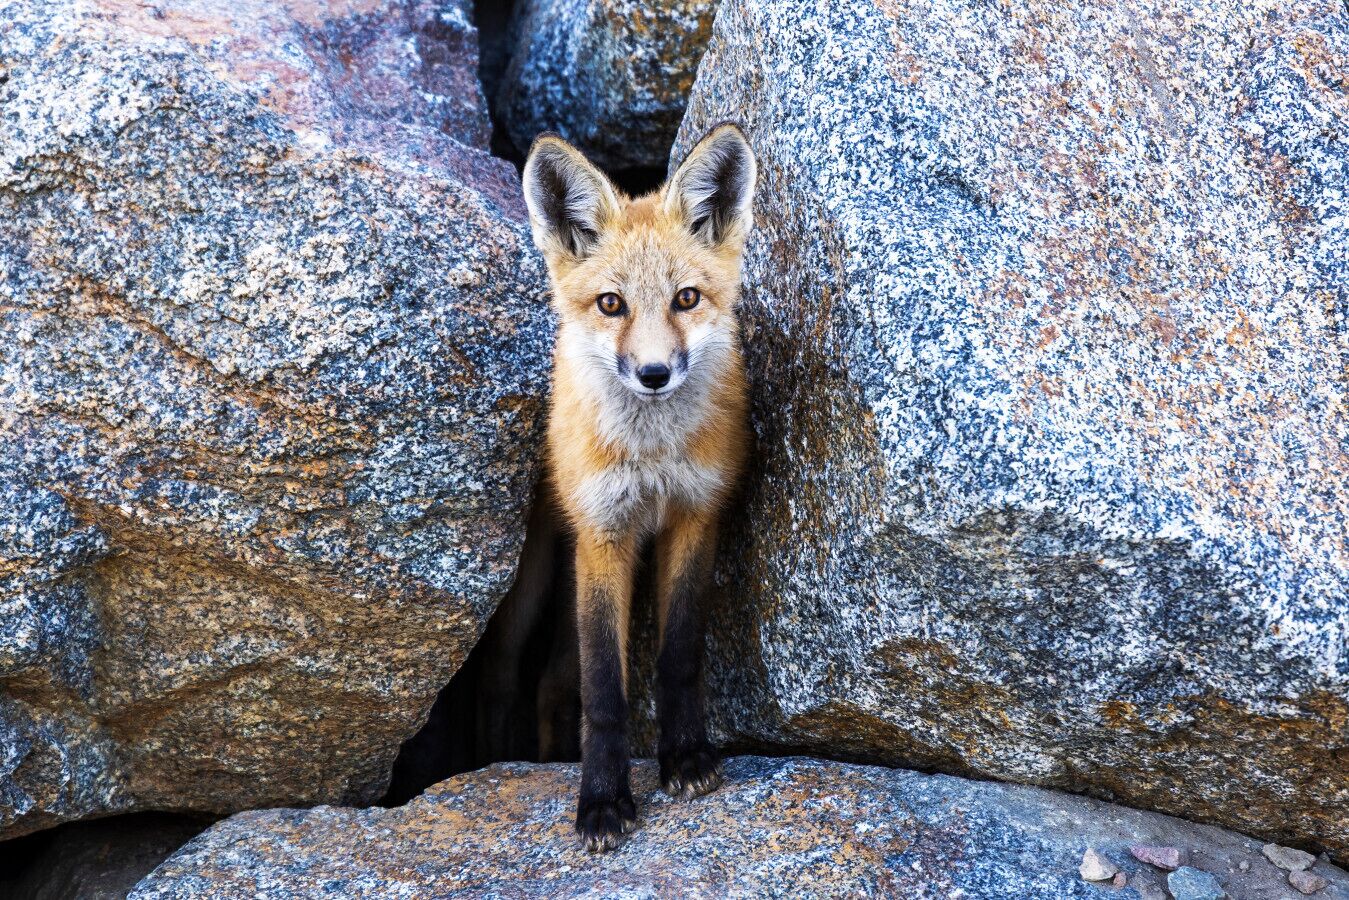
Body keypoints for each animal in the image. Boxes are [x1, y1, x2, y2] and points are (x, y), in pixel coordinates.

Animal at [519, 123, 756, 852]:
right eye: (611, 305)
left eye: (686, 298)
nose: (654, 374)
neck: (649, 457)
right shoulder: (601, 536)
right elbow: (604, 689)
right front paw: (601, 800)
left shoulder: (695, 517)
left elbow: (677, 658)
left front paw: (684, 758)